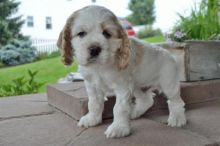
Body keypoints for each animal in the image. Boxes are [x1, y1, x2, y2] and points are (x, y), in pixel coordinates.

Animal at [56, 5, 186, 138]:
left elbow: (119, 108)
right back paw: (135, 113)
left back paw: (177, 119)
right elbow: (94, 103)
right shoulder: (92, 85)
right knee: (147, 100)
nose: (94, 49)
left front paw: (119, 128)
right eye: (81, 33)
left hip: (169, 83)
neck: (99, 67)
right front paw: (92, 119)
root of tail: (170, 54)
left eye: (106, 33)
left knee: (176, 101)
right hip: (137, 86)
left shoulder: (123, 86)